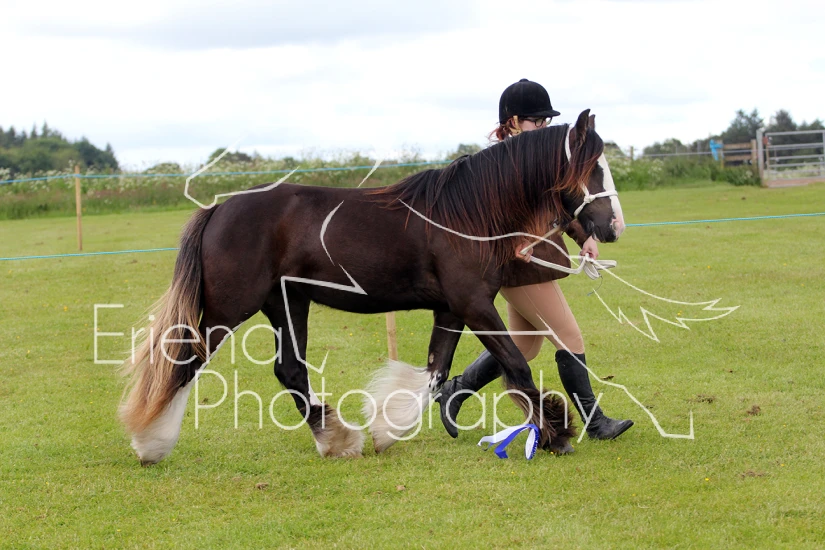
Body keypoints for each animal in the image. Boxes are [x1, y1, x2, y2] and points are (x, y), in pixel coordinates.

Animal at [119, 109, 625, 465]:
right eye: (593, 168)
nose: (612, 227)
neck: (466, 214)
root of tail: (218, 209)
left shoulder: (452, 309)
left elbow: (436, 371)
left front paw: (386, 430)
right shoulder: (475, 304)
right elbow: (515, 364)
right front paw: (557, 434)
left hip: (286, 303)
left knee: (290, 371)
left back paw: (337, 439)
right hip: (230, 309)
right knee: (183, 362)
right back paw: (150, 445)